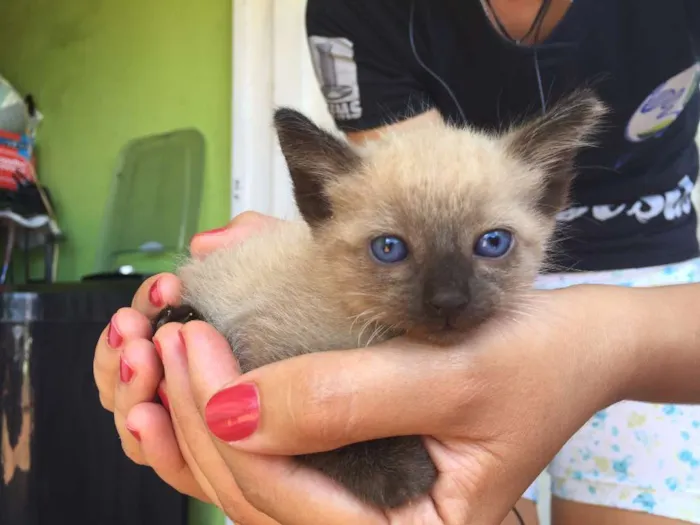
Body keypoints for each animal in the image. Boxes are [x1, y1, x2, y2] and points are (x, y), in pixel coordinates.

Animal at [156, 89, 604, 508]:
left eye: (493, 243)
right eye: (389, 248)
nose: (448, 301)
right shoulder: (262, 354)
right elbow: (328, 439)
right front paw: (402, 476)